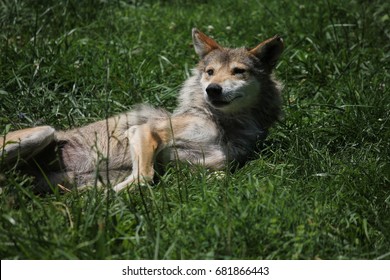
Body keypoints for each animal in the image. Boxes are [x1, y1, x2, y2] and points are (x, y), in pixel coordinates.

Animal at [0, 29, 284, 192]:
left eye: (238, 71)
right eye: (210, 72)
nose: (212, 89)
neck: (225, 124)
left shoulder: (210, 168)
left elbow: (220, 178)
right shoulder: (143, 131)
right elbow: (145, 176)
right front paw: (112, 197)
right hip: (42, 132)